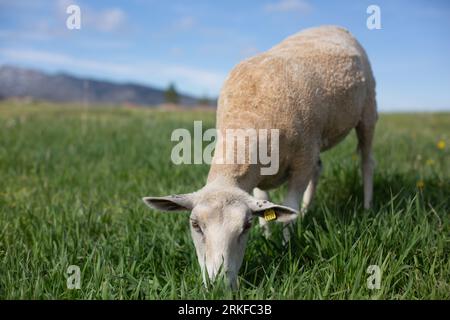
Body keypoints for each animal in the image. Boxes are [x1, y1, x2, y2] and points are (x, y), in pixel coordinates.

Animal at [142, 26, 378, 288]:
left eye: (245, 226)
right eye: (195, 225)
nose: (218, 286)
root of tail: (331, 26)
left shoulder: (302, 160)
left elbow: (287, 212)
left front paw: (286, 249)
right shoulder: (259, 175)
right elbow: (265, 206)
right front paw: (267, 237)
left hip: (367, 109)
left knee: (366, 161)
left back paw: (367, 207)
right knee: (319, 168)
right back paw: (307, 211)